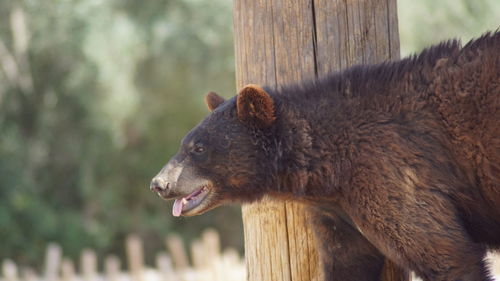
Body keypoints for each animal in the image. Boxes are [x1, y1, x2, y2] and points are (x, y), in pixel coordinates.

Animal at [149, 31, 500, 278]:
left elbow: (444, 252)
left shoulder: (392, 172)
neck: (328, 167)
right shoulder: (337, 214)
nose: (159, 183)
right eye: (184, 143)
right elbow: (348, 262)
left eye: (198, 148)